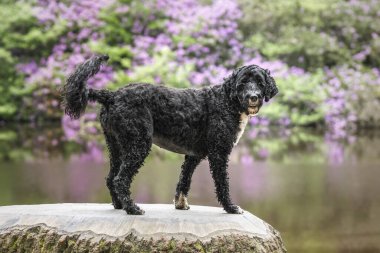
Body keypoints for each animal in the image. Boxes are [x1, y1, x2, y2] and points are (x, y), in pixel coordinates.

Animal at [61, 54, 276, 214]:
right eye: (243, 82)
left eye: (260, 82)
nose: (253, 97)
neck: (226, 100)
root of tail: (112, 95)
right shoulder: (219, 153)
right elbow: (222, 183)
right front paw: (231, 207)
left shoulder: (193, 155)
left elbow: (184, 180)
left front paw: (180, 204)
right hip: (138, 144)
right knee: (120, 179)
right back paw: (132, 208)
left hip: (116, 145)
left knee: (110, 178)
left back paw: (120, 205)